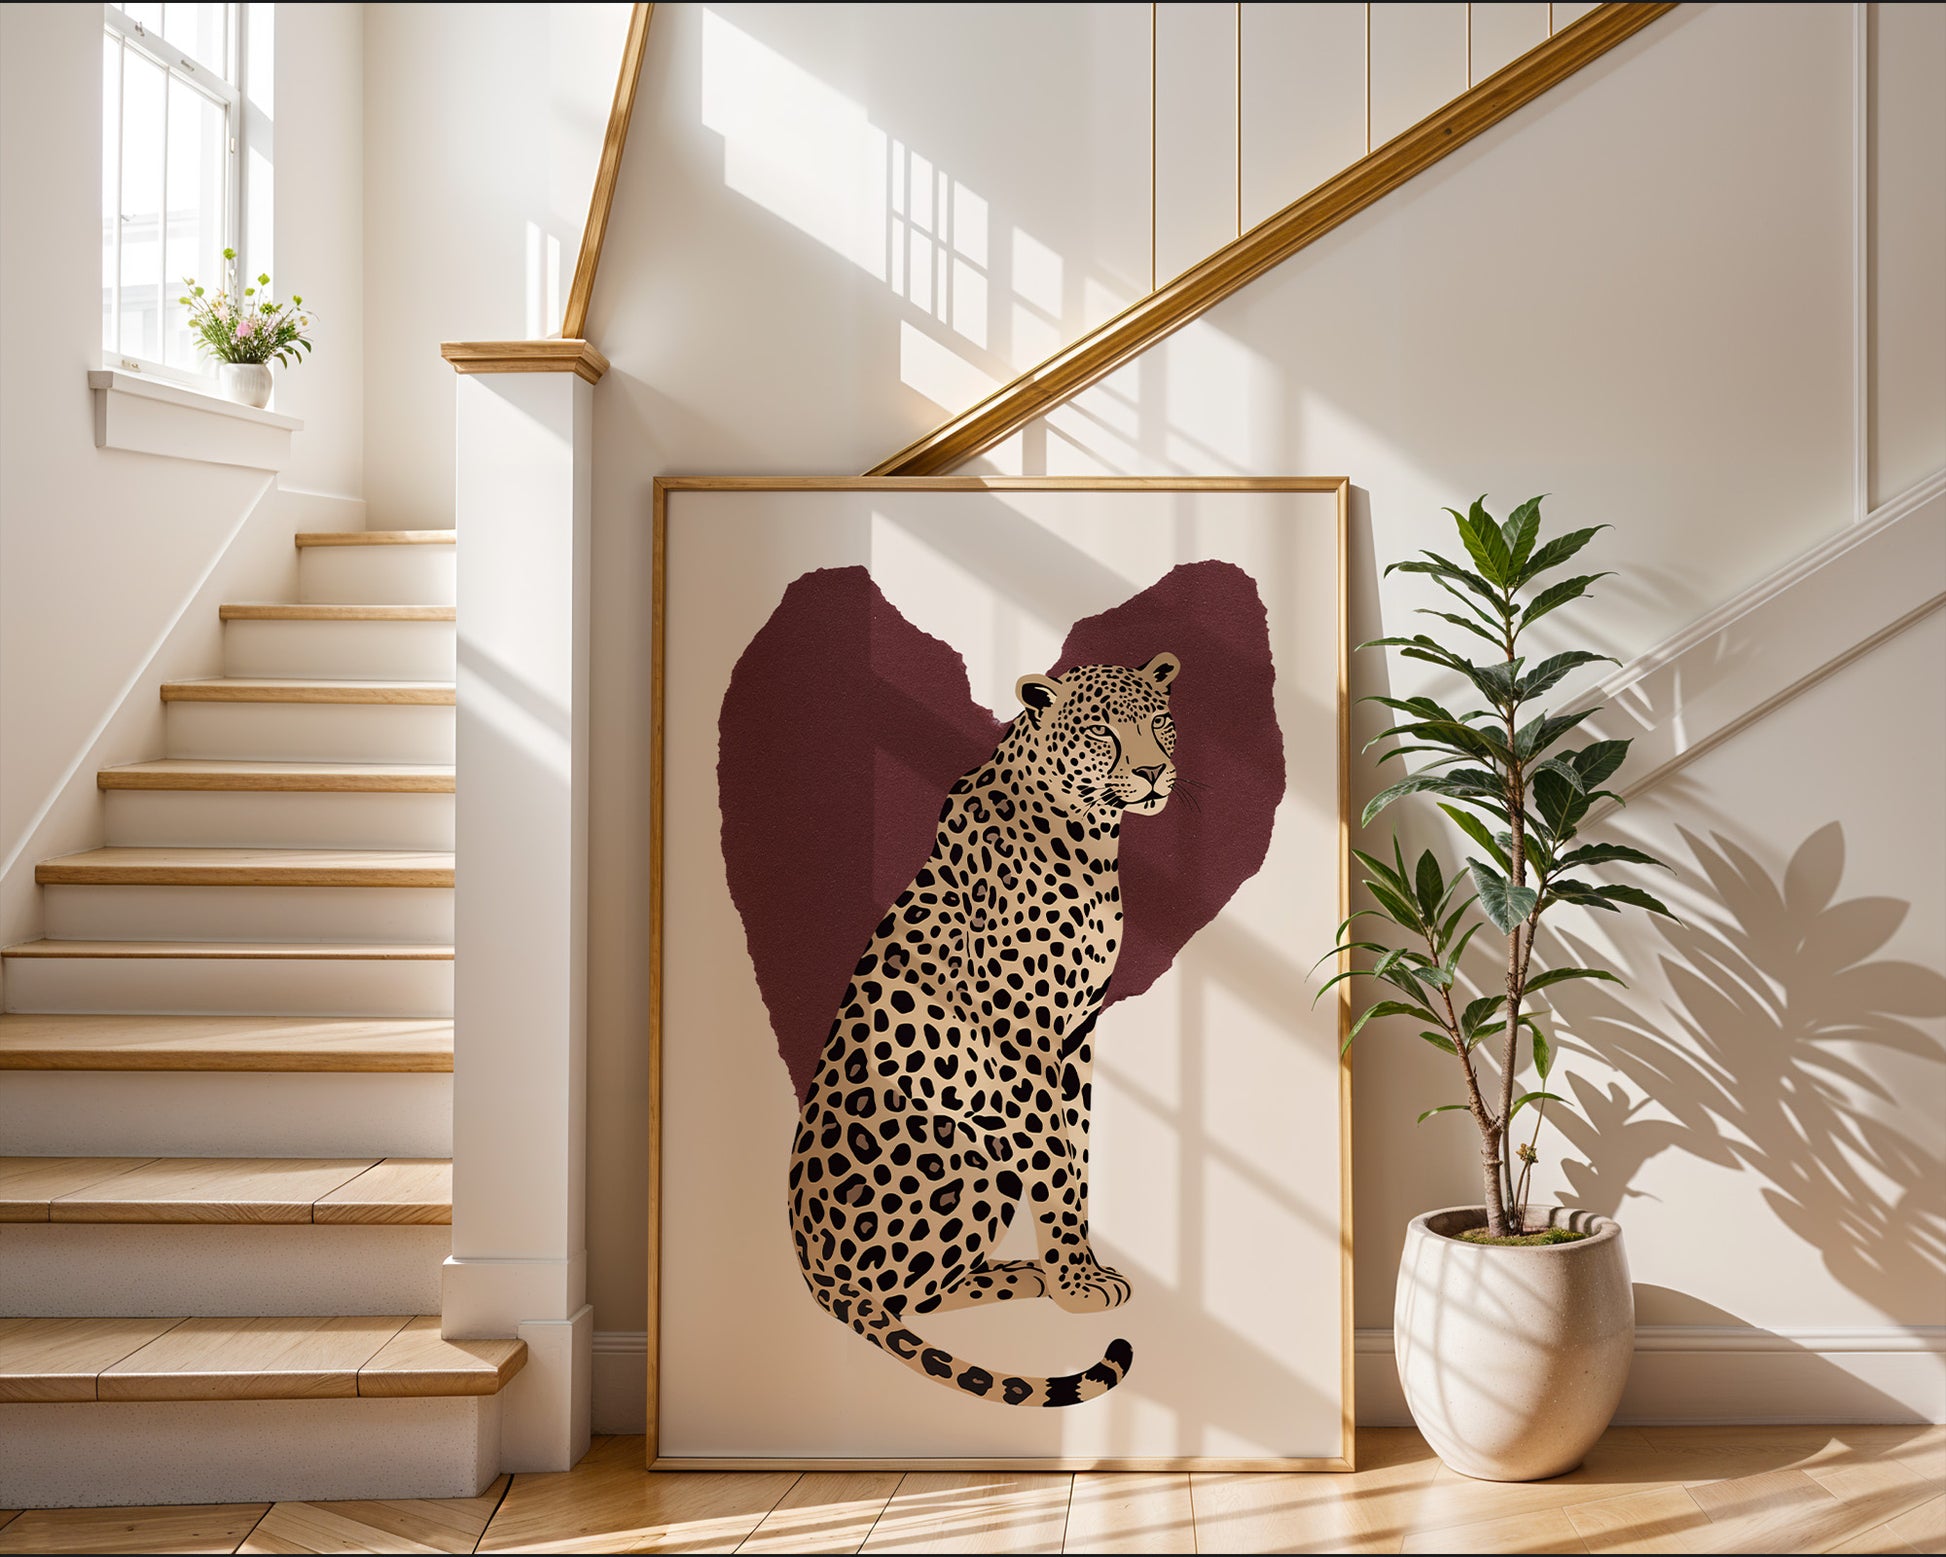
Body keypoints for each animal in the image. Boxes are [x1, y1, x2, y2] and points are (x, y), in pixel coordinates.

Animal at [786, 651, 1182, 1406]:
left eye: (1159, 722)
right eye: (1101, 731)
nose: (1153, 772)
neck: (1090, 836)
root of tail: (811, 1262)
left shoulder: (1077, 1032)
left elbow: (1077, 1150)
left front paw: (1079, 1267)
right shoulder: (1021, 1028)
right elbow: (1054, 1161)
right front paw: (1076, 1284)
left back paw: (1021, 1272)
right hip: (971, 1141)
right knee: (900, 1297)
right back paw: (1024, 1277)